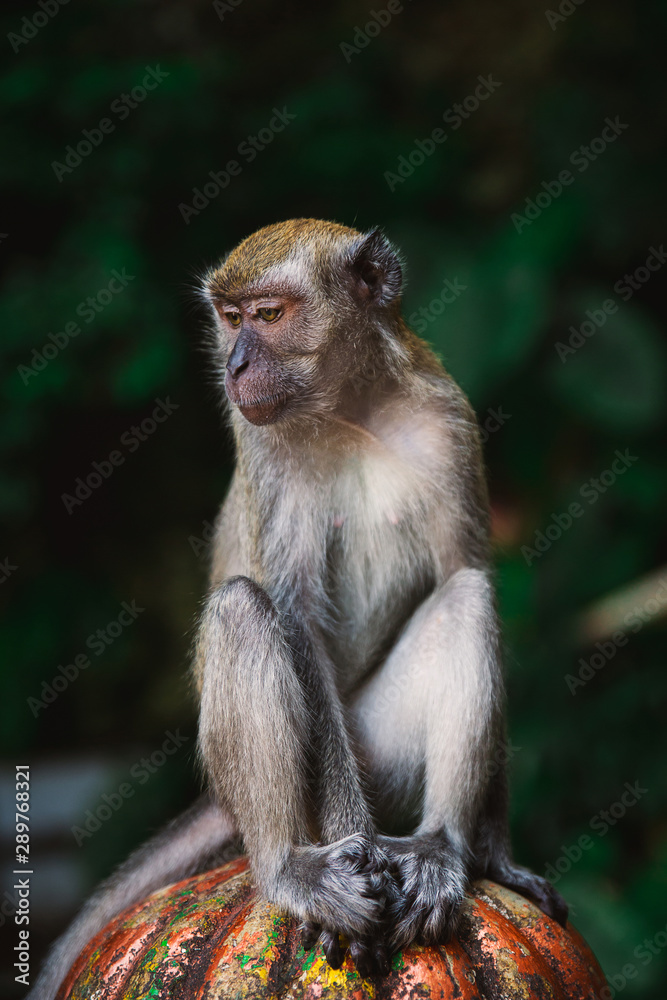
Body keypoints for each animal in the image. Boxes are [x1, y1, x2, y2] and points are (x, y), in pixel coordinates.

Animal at [29, 218, 567, 998]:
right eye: (230, 318)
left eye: (270, 314)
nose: (235, 366)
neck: (352, 412)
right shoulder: (265, 445)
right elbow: (296, 624)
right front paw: (358, 852)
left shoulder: (448, 422)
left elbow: (465, 569)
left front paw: (493, 854)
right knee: (242, 610)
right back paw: (292, 868)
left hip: (382, 752)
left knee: (465, 595)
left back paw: (438, 846)